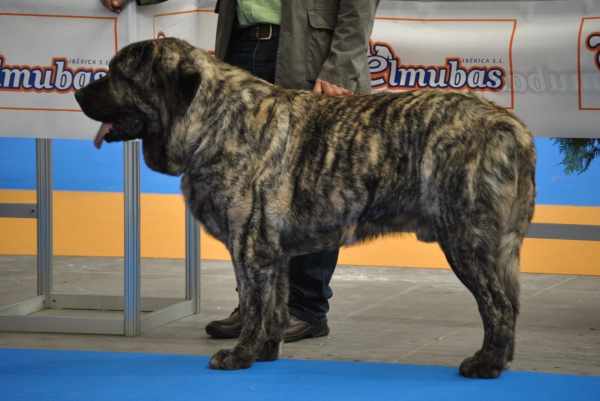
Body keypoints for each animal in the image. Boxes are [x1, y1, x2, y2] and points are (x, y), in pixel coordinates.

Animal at [72, 38, 536, 378]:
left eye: (118, 74)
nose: (77, 91)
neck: (213, 120)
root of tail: (510, 125)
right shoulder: (271, 251)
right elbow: (274, 305)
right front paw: (264, 353)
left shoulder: (249, 246)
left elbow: (253, 304)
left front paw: (238, 356)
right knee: (510, 304)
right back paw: (502, 360)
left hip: (464, 237)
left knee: (498, 305)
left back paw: (486, 365)